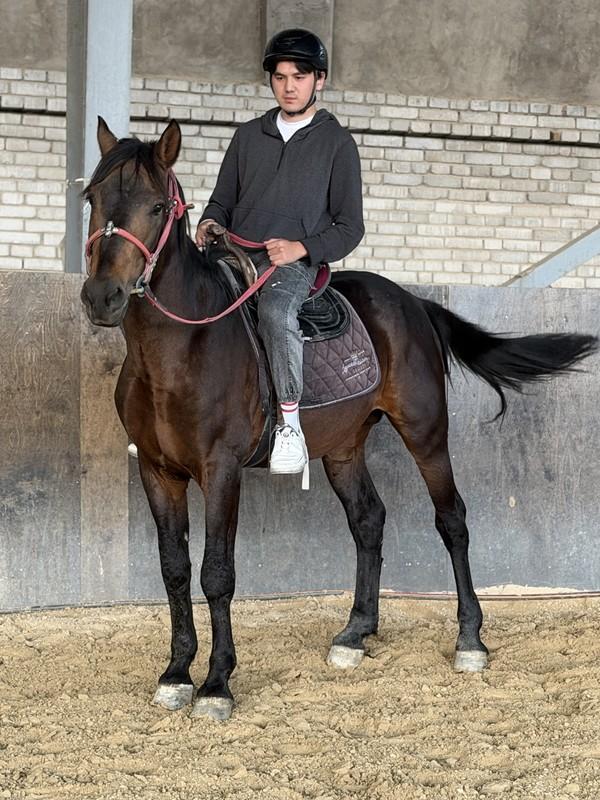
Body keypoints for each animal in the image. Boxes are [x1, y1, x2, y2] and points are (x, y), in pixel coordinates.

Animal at [81, 117, 597, 721]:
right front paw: (175, 673)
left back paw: (470, 640)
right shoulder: (157, 471)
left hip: (426, 433)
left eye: (158, 206)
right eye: (92, 198)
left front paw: (216, 683)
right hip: (344, 448)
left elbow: (216, 574)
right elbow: (174, 570)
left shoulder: (221, 471)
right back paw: (355, 634)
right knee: (368, 520)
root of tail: (414, 304)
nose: (102, 297)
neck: (184, 348)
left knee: (452, 520)